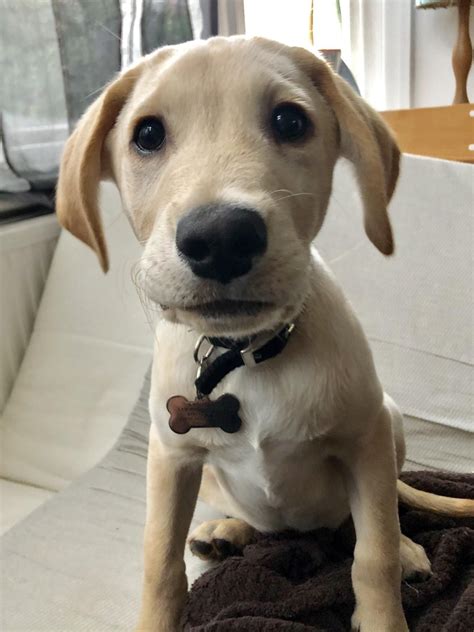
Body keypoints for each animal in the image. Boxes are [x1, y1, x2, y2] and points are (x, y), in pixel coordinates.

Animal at [56, 37, 474, 628]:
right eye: (148, 134)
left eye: (290, 121)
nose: (220, 238)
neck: (248, 354)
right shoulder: (170, 457)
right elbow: (159, 564)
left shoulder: (365, 442)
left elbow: (373, 554)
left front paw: (384, 609)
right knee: (262, 523)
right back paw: (226, 532)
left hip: (388, 421)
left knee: (376, 516)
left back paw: (409, 551)